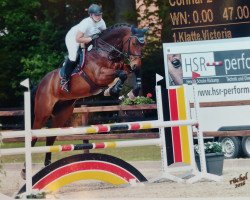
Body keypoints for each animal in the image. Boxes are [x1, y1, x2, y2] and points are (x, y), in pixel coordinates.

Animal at [21, 23, 147, 177]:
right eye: (134, 43)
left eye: (144, 44)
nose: (137, 64)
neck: (106, 52)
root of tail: (41, 83)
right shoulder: (99, 75)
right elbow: (122, 74)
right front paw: (113, 90)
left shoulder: (122, 67)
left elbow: (127, 72)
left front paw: (128, 92)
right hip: (42, 113)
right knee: (33, 136)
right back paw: (25, 171)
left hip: (62, 114)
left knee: (50, 137)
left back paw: (48, 166)